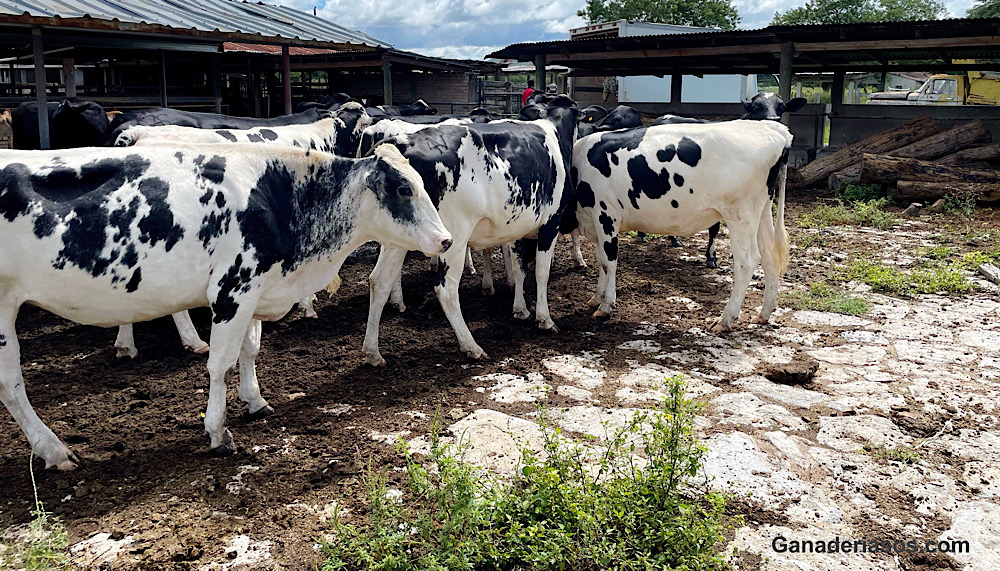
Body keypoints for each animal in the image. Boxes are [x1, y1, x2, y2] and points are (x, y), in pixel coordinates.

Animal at [0, 143, 450, 470]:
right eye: (405, 189)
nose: (445, 240)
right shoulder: (233, 289)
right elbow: (219, 364)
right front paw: (218, 432)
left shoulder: (256, 291)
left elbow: (250, 350)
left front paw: (255, 401)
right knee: (11, 384)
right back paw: (55, 450)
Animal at [360, 96, 580, 364]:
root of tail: (401, 142)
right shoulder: (551, 222)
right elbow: (541, 272)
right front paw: (545, 319)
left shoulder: (520, 227)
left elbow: (520, 270)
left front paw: (520, 310)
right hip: (453, 234)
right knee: (445, 289)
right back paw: (471, 346)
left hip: (399, 238)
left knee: (379, 281)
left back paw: (372, 352)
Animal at [576, 120, 792, 332]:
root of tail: (772, 128)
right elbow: (600, 259)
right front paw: (596, 297)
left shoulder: (605, 214)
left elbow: (608, 261)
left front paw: (605, 305)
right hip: (762, 210)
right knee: (769, 256)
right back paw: (764, 313)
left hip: (741, 213)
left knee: (746, 262)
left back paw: (725, 319)